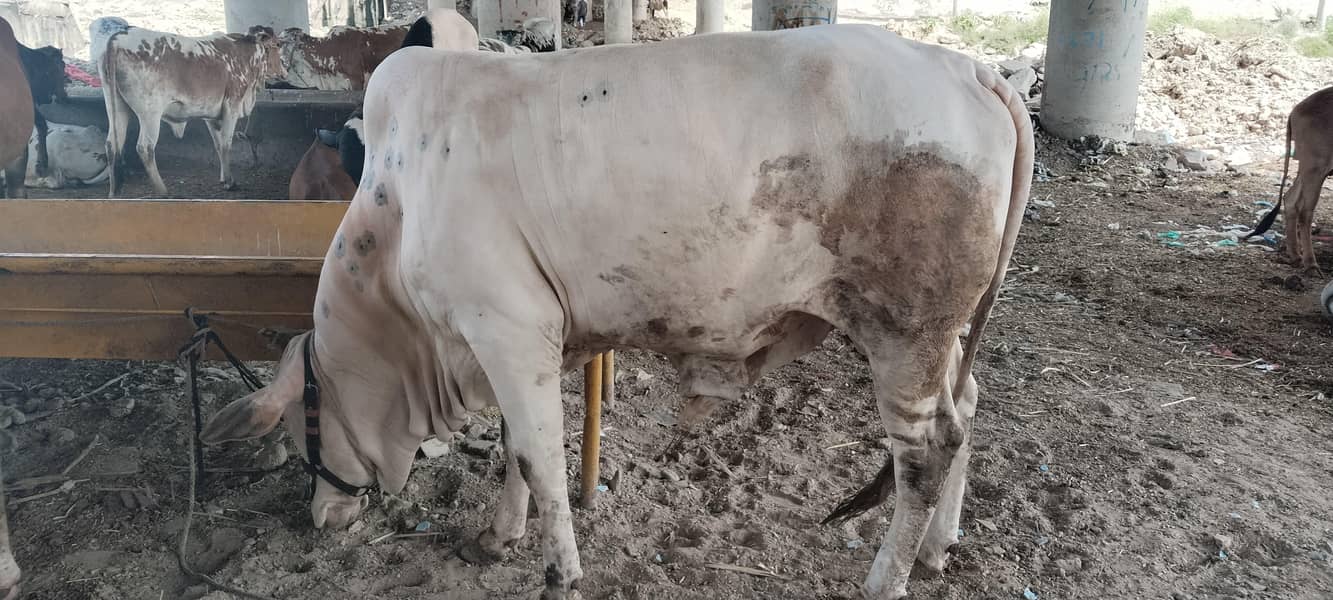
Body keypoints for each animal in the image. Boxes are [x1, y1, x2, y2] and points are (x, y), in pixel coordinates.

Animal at [100, 25, 285, 197]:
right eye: (277, 44)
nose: (284, 71)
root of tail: (118, 38)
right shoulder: (232, 106)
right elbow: (226, 144)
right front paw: (230, 182)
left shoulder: (211, 116)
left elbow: (218, 145)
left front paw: (223, 178)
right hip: (150, 113)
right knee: (145, 147)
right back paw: (163, 192)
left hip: (116, 107)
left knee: (112, 144)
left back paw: (113, 192)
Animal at [1243, 86, 1333, 273]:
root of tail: (1296, 110)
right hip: (1316, 166)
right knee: (1305, 211)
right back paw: (1310, 263)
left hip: (1309, 168)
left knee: (1290, 198)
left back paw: (1296, 256)